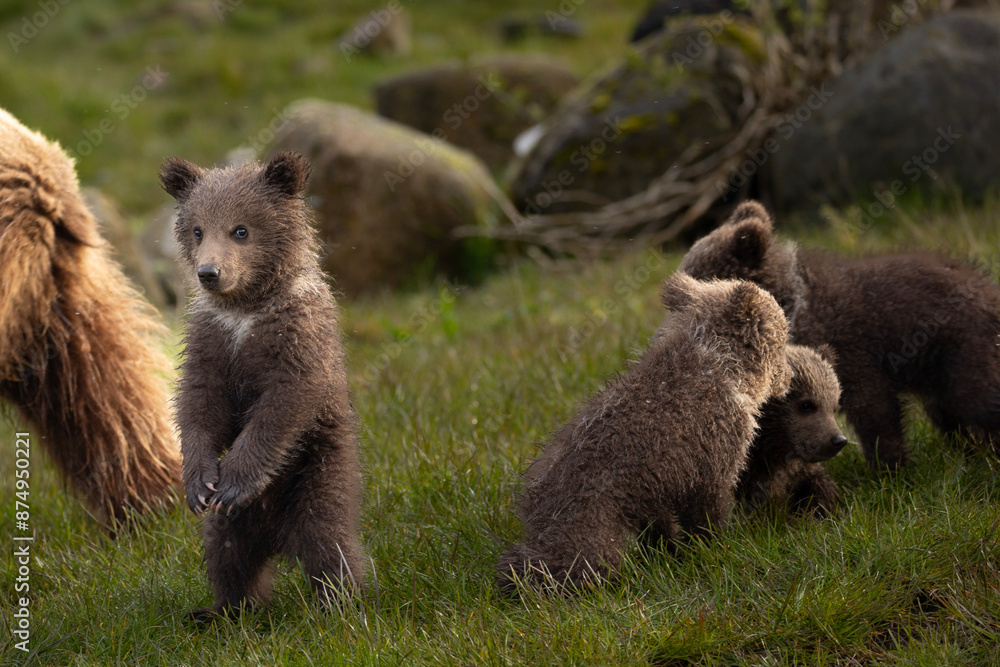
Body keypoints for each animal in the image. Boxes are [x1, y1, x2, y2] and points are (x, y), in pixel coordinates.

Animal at [160, 151, 365, 621]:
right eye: (197, 229)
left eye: (241, 229)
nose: (209, 272)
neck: (246, 308)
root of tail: (278, 538)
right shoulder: (212, 340)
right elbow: (198, 403)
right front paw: (199, 483)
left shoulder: (296, 337)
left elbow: (282, 406)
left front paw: (235, 482)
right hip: (234, 527)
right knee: (227, 553)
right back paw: (223, 611)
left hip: (317, 472)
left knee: (329, 543)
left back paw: (341, 606)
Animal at [496, 271, 792, 593]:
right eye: (785, 337)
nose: (790, 377)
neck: (720, 361)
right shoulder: (710, 459)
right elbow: (706, 512)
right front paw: (713, 549)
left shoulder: (657, 482)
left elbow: (660, 525)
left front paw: (670, 552)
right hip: (592, 523)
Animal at [680, 200, 1000, 471]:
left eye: (697, 280)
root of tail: (990, 290)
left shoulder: (852, 349)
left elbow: (874, 409)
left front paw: (888, 469)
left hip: (963, 347)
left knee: (980, 397)